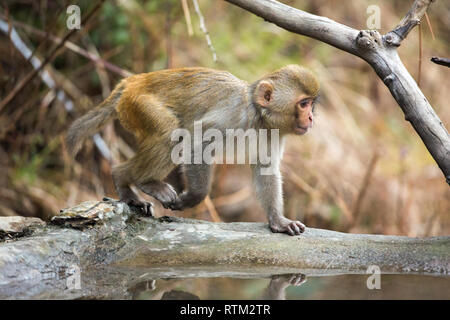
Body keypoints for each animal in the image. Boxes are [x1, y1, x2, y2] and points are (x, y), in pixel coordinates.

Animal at [67, 65, 320, 235]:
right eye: (303, 104)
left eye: (311, 104)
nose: (311, 118)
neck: (259, 116)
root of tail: (133, 81)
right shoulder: (231, 118)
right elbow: (197, 145)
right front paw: (192, 198)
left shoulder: (272, 135)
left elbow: (266, 169)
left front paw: (278, 221)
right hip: (140, 103)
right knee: (170, 132)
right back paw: (134, 180)